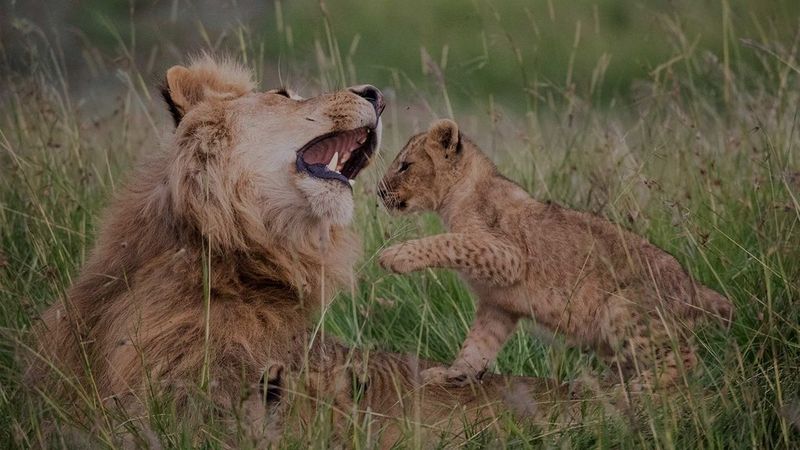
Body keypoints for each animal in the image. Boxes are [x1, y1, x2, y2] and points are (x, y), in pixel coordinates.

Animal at [377, 119, 733, 396]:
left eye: (405, 165)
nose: (379, 192)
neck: (456, 198)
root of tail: (693, 285)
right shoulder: (499, 305)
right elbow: (478, 344)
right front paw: (454, 374)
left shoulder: (507, 255)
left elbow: (449, 242)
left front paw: (396, 255)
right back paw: (593, 386)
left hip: (623, 307)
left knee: (685, 362)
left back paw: (633, 390)